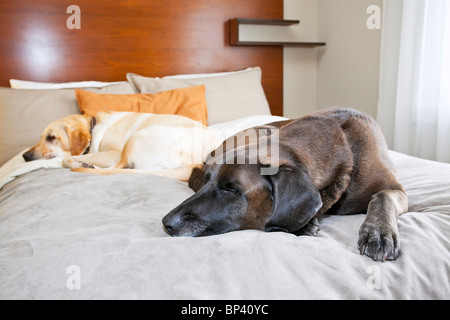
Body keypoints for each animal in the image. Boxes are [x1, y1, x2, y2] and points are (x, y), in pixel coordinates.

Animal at [163, 109, 410, 262]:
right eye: (207, 182)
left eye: (231, 189)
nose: (166, 223)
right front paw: (303, 225)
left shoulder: (396, 189)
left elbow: (382, 196)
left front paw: (379, 232)